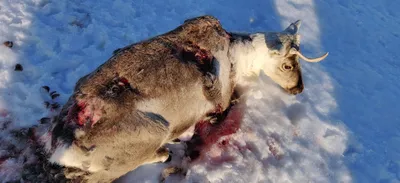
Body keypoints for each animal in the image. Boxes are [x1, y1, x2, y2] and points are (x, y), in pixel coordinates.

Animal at [39, 15, 328, 182]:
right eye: (288, 65)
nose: (299, 89)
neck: (240, 57)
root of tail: (63, 145)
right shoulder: (221, 100)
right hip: (153, 131)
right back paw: (165, 152)